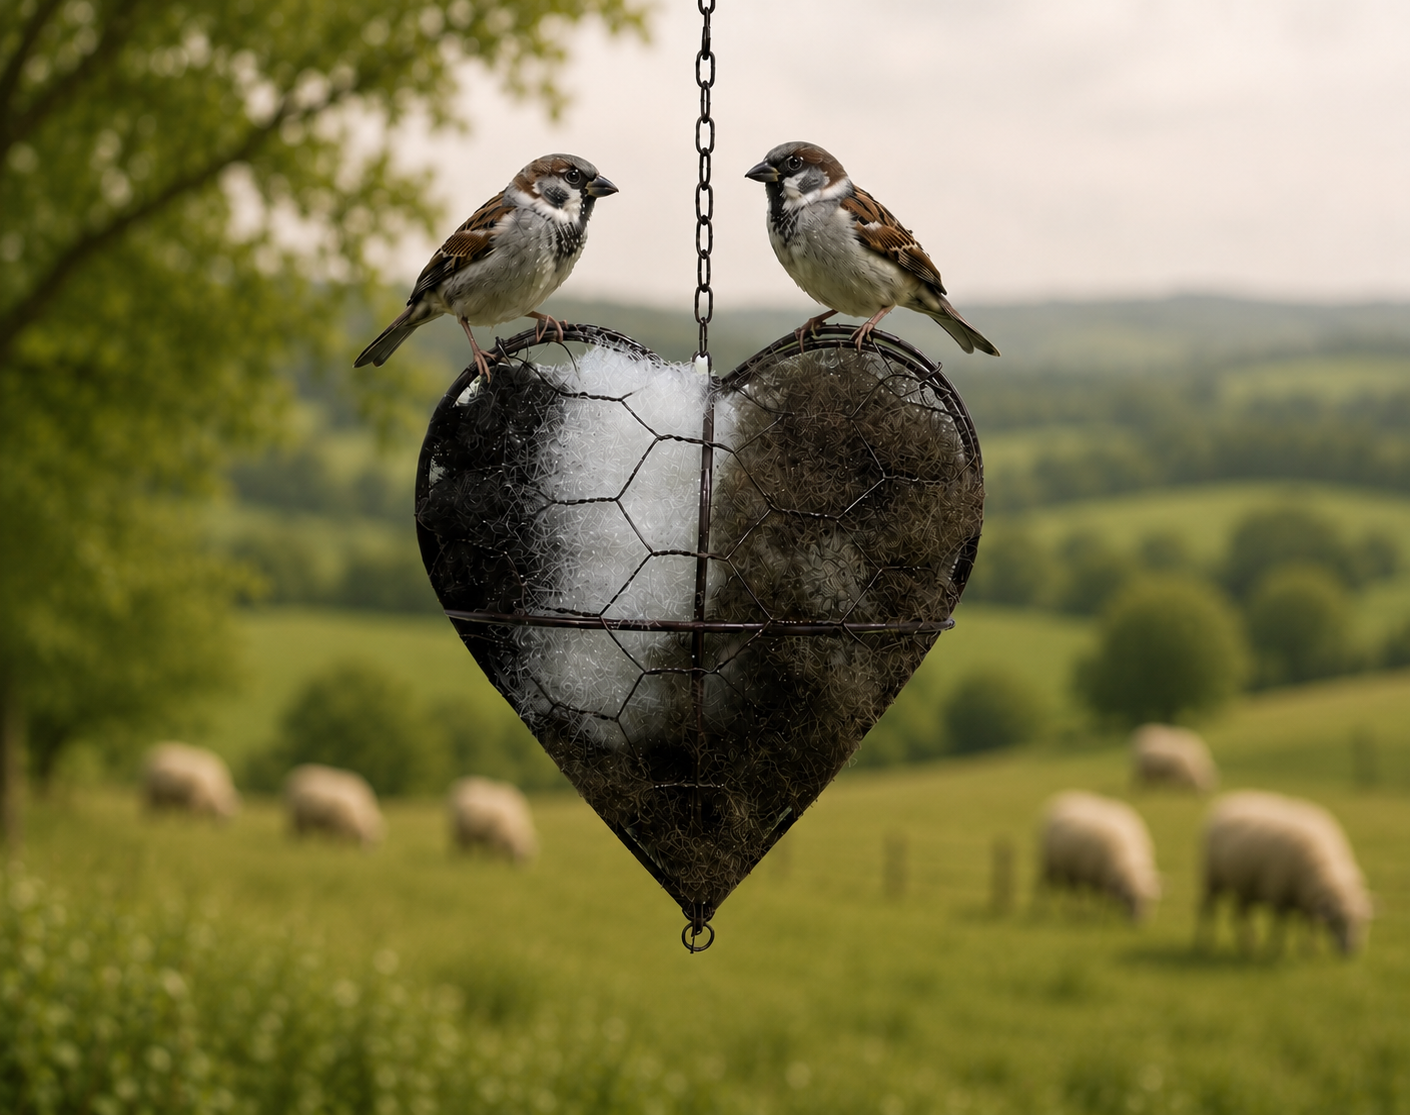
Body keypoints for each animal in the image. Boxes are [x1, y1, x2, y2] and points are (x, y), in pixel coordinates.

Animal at [1037, 791, 1161, 921]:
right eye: (1128, 899)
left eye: (1149, 900)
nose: (1139, 922)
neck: (1127, 860)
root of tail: (1068, 792)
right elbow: (1103, 901)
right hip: (1049, 864)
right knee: (1044, 886)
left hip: (1070, 869)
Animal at [1198, 790, 1371, 956]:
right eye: (1338, 921)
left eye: (1361, 923)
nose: (1350, 951)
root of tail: (1228, 799)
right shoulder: (1279, 896)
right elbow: (1280, 927)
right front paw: (1275, 950)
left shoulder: (1306, 900)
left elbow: (1309, 925)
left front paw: (1310, 950)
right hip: (1212, 879)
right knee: (1208, 909)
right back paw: (1205, 942)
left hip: (1245, 887)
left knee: (1240, 915)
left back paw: (1247, 945)